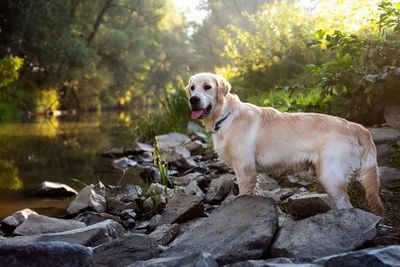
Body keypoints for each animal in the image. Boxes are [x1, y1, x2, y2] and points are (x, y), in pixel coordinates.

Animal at [186, 71, 386, 218]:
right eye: (192, 88)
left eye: (207, 87)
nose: (193, 100)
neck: (226, 115)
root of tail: (354, 126)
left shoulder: (244, 168)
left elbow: (244, 193)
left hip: (330, 175)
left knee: (346, 205)